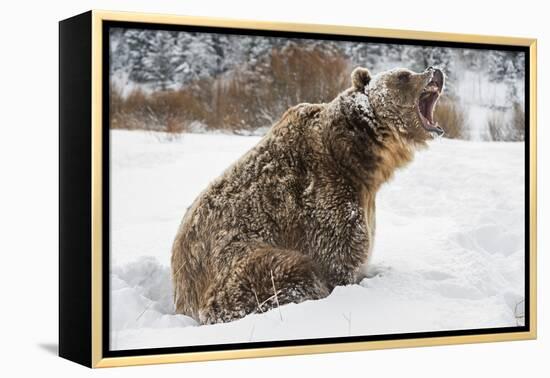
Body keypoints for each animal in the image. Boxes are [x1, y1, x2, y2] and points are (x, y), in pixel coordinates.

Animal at [170, 65, 446, 324]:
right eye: (403, 75)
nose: (435, 71)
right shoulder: (325, 196)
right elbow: (338, 256)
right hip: (235, 263)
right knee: (289, 271)